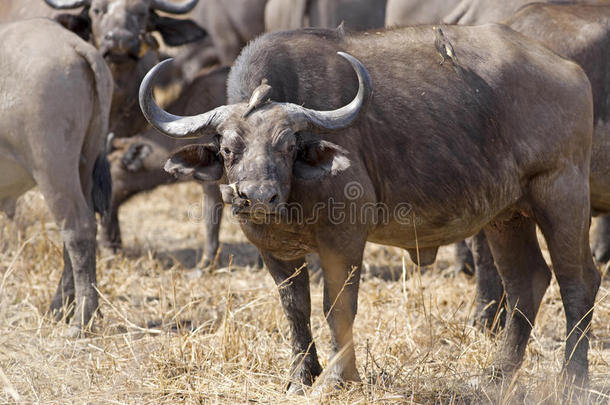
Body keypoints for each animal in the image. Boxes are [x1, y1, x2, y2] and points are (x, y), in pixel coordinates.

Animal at [0, 18, 113, 334]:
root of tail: (72, 44)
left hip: (52, 168)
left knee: (78, 228)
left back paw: (81, 319)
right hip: (82, 167)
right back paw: (62, 308)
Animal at [139, 25, 600, 388]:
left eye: (287, 145)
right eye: (228, 149)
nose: (256, 197)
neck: (295, 194)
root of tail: (571, 72)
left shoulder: (345, 239)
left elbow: (337, 305)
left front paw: (341, 377)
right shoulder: (271, 248)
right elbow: (295, 308)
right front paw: (301, 376)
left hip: (561, 192)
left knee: (578, 280)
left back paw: (572, 379)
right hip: (507, 215)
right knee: (527, 282)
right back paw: (495, 377)